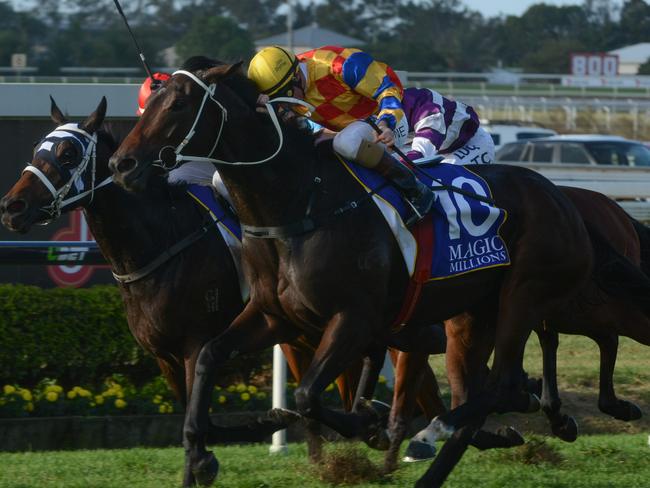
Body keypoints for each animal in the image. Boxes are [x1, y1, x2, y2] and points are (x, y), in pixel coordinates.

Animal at [105, 63, 632, 486]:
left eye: (178, 103)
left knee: (505, 381)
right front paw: (208, 449)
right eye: (149, 101)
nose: (122, 163)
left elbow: (308, 394)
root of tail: (565, 198)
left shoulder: (353, 319)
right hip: (475, 314)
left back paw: (438, 430)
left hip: (523, 295)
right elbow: (211, 359)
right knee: (497, 387)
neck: (301, 204)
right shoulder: (275, 317)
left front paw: (366, 424)